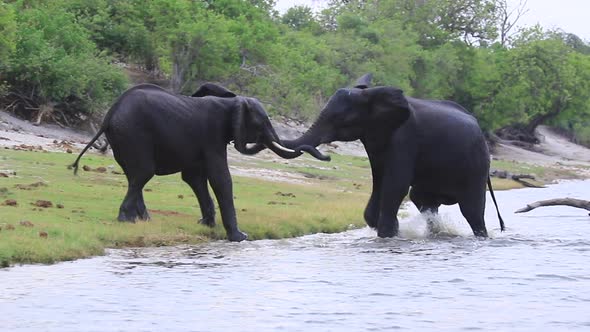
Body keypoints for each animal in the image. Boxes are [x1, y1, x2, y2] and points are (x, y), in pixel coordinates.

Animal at [73, 83, 328, 241]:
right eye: (261, 123)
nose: (327, 156)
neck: (233, 102)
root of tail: (109, 114)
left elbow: (195, 177)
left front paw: (206, 225)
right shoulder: (212, 135)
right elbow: (220, 177)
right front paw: (240, 238)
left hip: (123, 137)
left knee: (134, 176)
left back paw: (142, 220)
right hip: (133, 133)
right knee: (142, 173)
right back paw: (127, 221)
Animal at [282, 74, 504, 237]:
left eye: (340, 119)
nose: (327, 156)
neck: (372, 94)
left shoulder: (404, 138)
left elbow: (395, 184)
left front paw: (389, 234)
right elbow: (379, 182)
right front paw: (388, 229)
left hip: (477, 165)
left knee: (472, 211)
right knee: (422, 199)